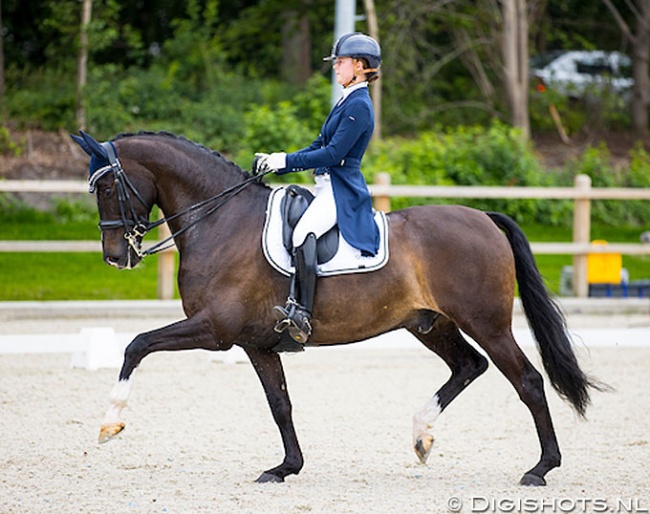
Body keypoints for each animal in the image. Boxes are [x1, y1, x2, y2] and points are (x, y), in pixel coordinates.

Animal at [71, 130, 596, 486]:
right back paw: (422, 436)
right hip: (429, 324)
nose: (115, 256)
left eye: (106, 189)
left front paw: (109, 423)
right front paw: (286, 467)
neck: (220, 220)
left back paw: (540, 468)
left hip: (487, 323)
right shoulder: (255, 343)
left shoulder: (214, 330)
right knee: (469, 366)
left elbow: (137, 345)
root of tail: (483, 217)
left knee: (527, 380)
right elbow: (280, 404)